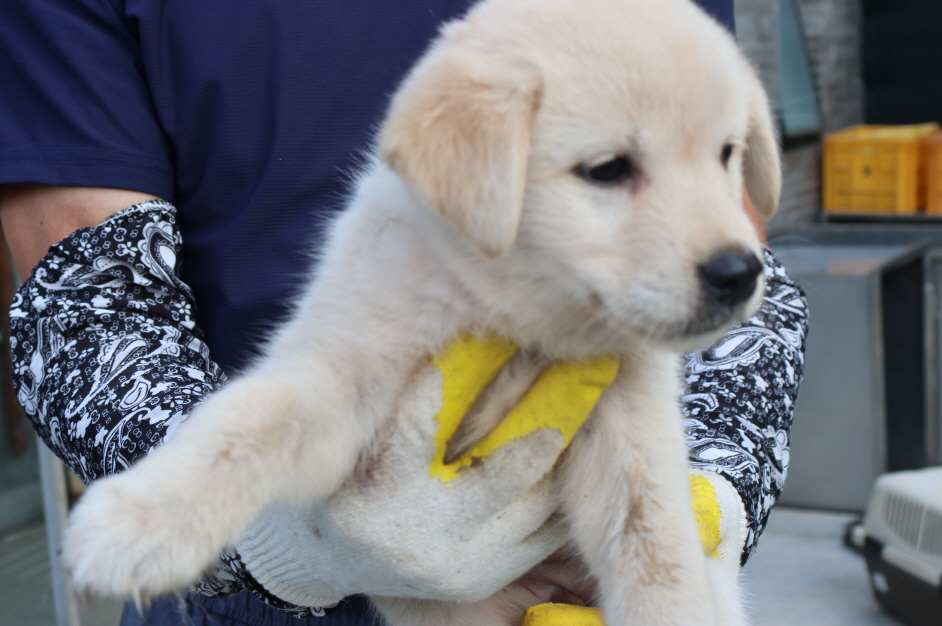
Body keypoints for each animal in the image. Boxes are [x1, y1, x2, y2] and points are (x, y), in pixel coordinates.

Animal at [64, 0, 780, 620]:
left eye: (727, 155)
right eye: (607, 169)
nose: (739, 272)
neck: (511, 315)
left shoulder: (632, 442)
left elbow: (661, 566)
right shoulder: (343, 376)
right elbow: (242, 428)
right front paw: (139, 521)